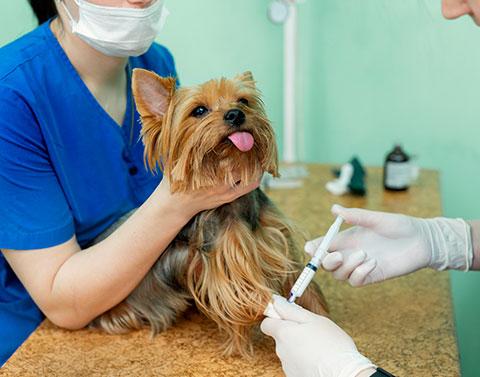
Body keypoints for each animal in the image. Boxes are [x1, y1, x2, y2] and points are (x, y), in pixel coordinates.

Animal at [90, 69, 326, 354]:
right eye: (199, 110)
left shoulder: (277, 241)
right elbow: (244, 296)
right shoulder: (226, 260)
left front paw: (319, 322)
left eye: (243, 101)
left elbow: (301, 283)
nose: (235, 114)